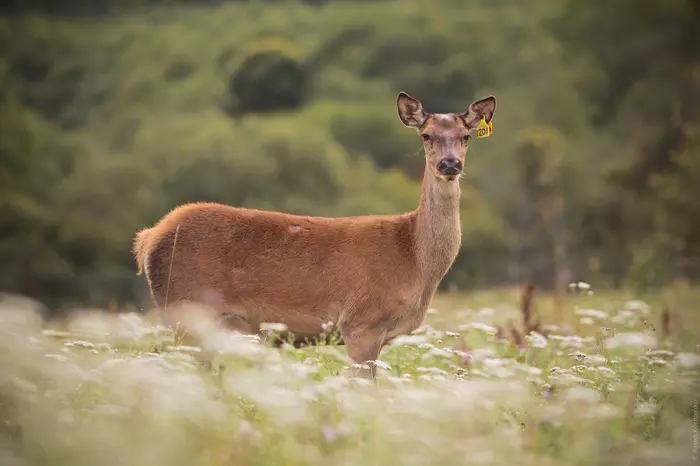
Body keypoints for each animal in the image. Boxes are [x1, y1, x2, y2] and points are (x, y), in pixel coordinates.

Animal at [134, 92, 494, 378]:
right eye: (426, 135)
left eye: (466, 136)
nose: (450, 164)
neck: (415, 262)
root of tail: (148, 238)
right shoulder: (361, 323)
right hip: (185, 308)